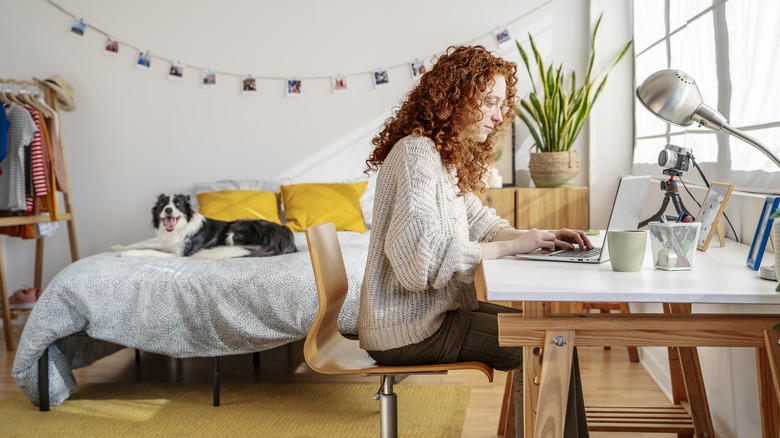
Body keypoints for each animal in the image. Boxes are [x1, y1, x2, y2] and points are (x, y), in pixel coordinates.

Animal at [114, 192, 298, 260]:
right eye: (162, 204)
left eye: (178, 204)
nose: (168, 210)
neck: (181, 227)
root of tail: (284, 233)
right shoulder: (171, 246)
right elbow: (145, 245)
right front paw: (118, 247)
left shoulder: (180, 254)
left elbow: (149, 250)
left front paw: (127, 253)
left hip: (236, 228)